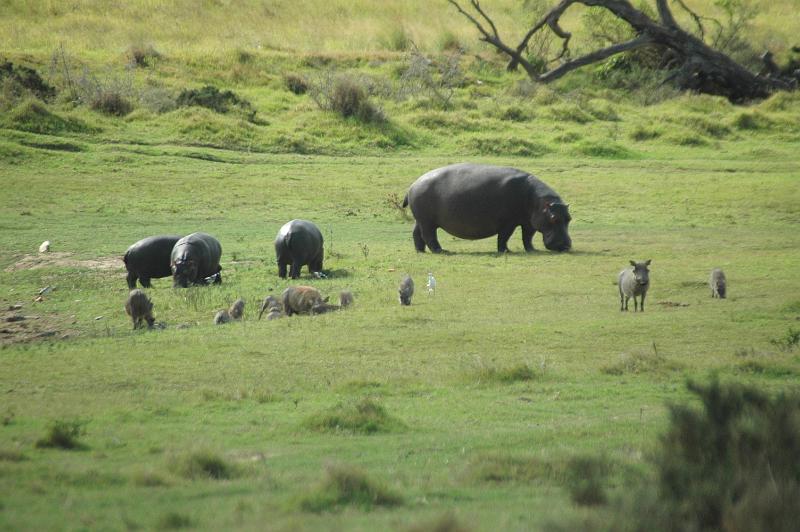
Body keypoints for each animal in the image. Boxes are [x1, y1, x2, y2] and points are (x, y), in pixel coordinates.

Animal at [406, 162, 568, 254]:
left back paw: (420, 251)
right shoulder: (508, 223)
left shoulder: (529, 222)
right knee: (429, 236)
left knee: (417, 234)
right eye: (554, 218)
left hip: (421, 220)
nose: (566, 246)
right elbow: (504, 237)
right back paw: (441, 251)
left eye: (569, 218)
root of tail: (413, 184)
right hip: (427, 222)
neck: (539, 201)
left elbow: (527, 237)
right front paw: (506, 251)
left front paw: (532, 250)